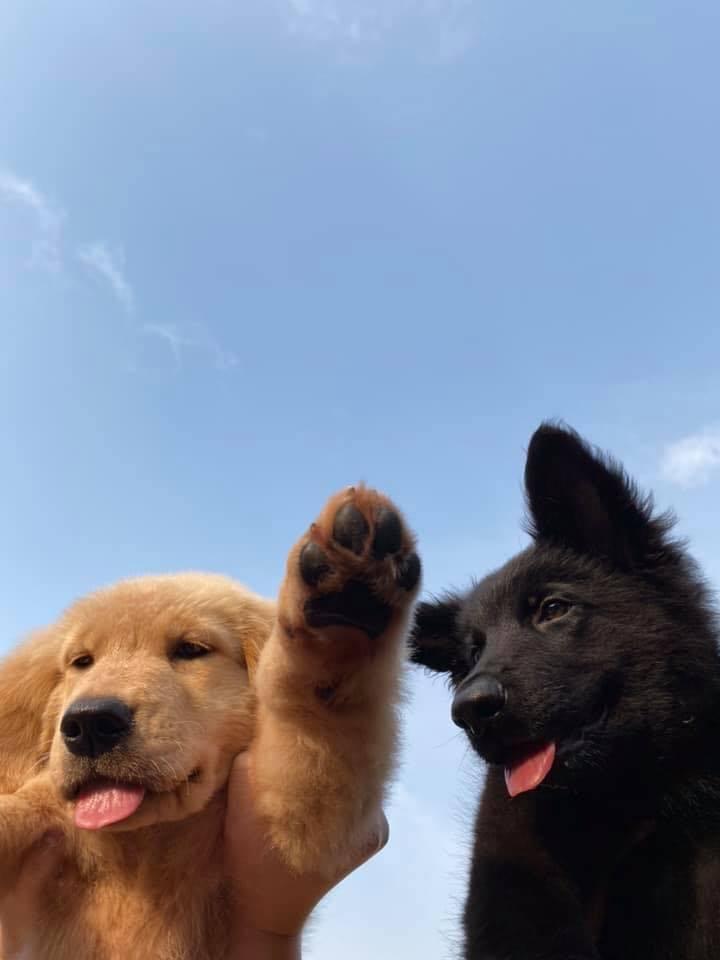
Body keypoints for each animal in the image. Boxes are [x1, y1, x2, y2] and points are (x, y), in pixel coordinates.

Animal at [0, 485, 420, 959]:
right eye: (81, 662)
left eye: (191, 650)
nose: (90, 724)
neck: (139, 852)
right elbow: (17, 810)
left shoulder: (296, 823)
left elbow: (316, 731)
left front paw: (343, 613)